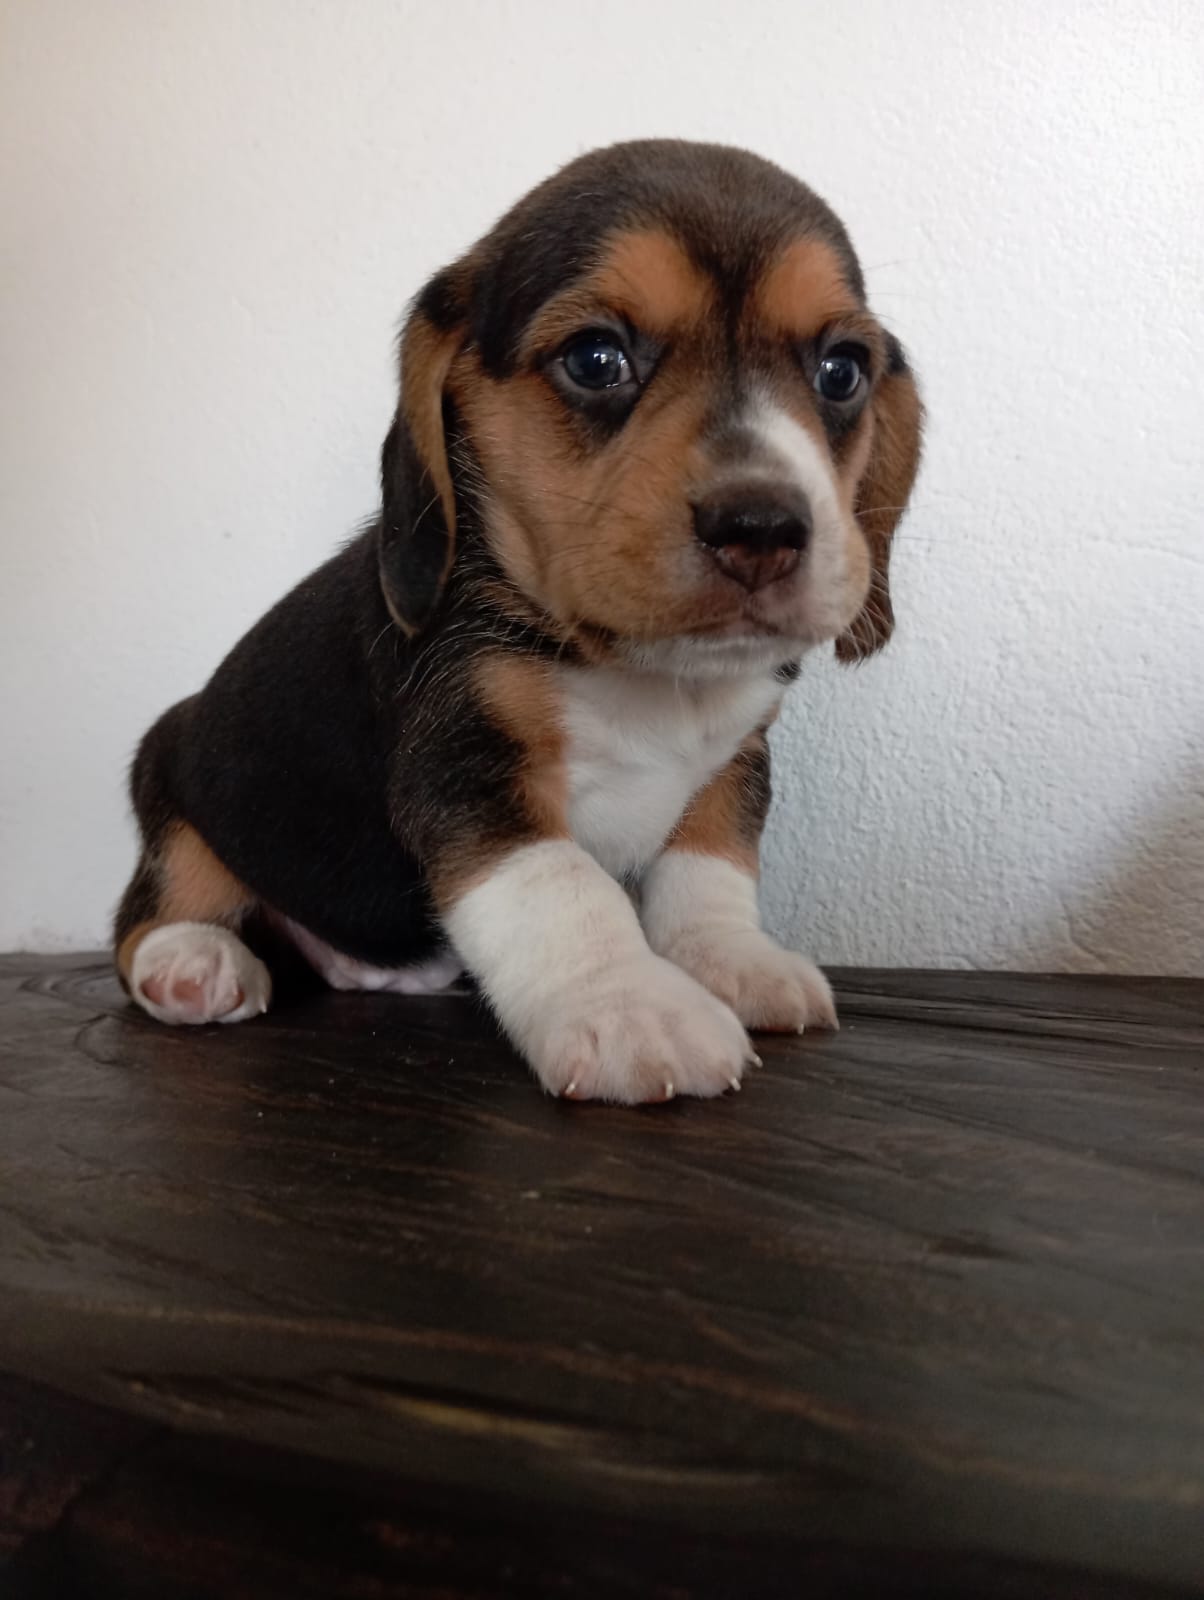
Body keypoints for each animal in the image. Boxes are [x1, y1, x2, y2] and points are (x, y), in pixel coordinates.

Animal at [114, 139, 923, 1104]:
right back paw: (194, 963)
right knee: (152, 910)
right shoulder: (467, 770)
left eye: (841, 372)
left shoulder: (735, 766)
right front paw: (632, 1010)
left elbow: (708, 875)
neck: (650, 675)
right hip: (174, 780)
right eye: (596, 358)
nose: (761, 528)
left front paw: (734, 961)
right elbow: (564, 889)